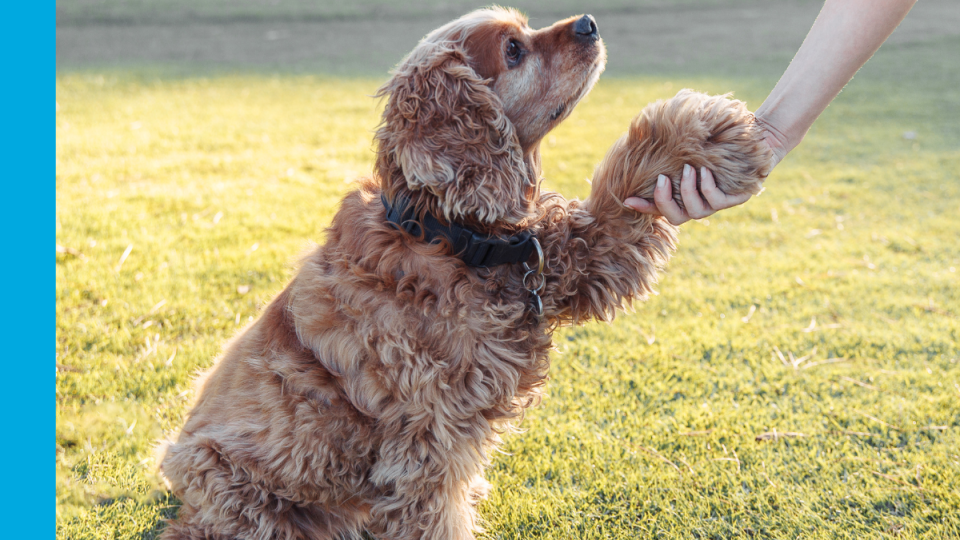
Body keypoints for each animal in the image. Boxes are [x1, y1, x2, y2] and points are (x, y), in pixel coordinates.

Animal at [158, 7, 772, 540]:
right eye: (513, 49)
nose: (589, 22)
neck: (450, 237)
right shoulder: (426, 444)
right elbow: (435, 517)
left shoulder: (569, 260)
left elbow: (620, 196)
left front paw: (706, 138)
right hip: (236, 487)